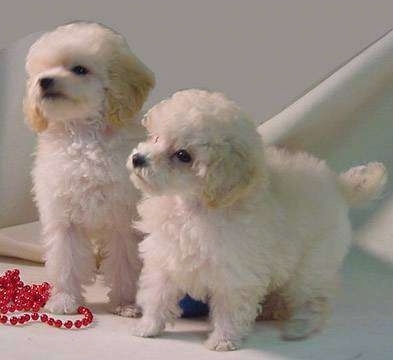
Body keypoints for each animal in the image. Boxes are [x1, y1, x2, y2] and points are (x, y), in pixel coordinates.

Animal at [23, 21, 155, 316]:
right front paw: (64, 299)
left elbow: (124, 262)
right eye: (43, 71)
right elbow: (66, 260)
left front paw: (125, 302)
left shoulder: (122, 218)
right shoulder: (64, 217)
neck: (83, 134)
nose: (44, 81)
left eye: (80, 70)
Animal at [126, 88, 386, 350]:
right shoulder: (165, 256)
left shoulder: (236, 272)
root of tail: (338, 186)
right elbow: (157, 293)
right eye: (156, 138)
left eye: (183, 155)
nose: (138, 158)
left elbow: (230, 309)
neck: (194, 206)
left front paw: (223, 340)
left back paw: (300, 326)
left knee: (314, 298)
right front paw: (147, 327)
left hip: (312, 263)